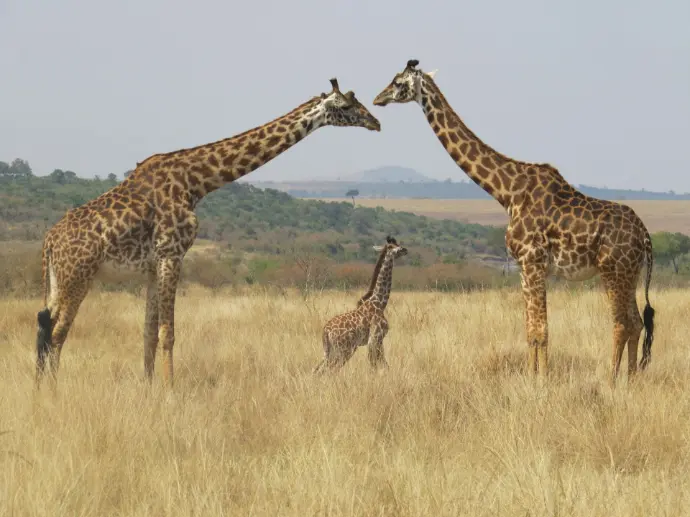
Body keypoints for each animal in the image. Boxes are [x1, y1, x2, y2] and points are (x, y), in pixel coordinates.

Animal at [34, 78, 381, 390]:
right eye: (346, 106)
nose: (375, 121)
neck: (195, 182)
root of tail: (49, 242)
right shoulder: (172, 255)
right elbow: (168, 332)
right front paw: (170, 393)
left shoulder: (153, 265)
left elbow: (148, 332)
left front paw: (148, 390)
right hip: (78, 277)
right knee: (57, 334)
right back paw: (53, 391)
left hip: (56, 281)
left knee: (44, 326)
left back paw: (40, 389)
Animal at [313, 236, 407, 374]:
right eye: (393, 246)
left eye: (398, 244)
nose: (405, 250)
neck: (379, 302)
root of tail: (326, 331)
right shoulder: (376, 338)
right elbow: (377, 364)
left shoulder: (376, 340)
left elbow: (381, 364)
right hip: (344, 349)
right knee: (331, 370)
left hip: (330, 351)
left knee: (317, 370)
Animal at [372, 60, 655, 386]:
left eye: (397, 82)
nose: (377, 98)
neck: (507, 192)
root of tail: (645, 235)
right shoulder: (522, 265)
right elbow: (530, 329)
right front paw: (531, 378)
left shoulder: (533, 261)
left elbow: (541, 330)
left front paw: (543, 381)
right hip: (630, 273)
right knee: (636, 322)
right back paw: (631, 379)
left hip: (613, 271)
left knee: (621, 323)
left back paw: (610, 380)